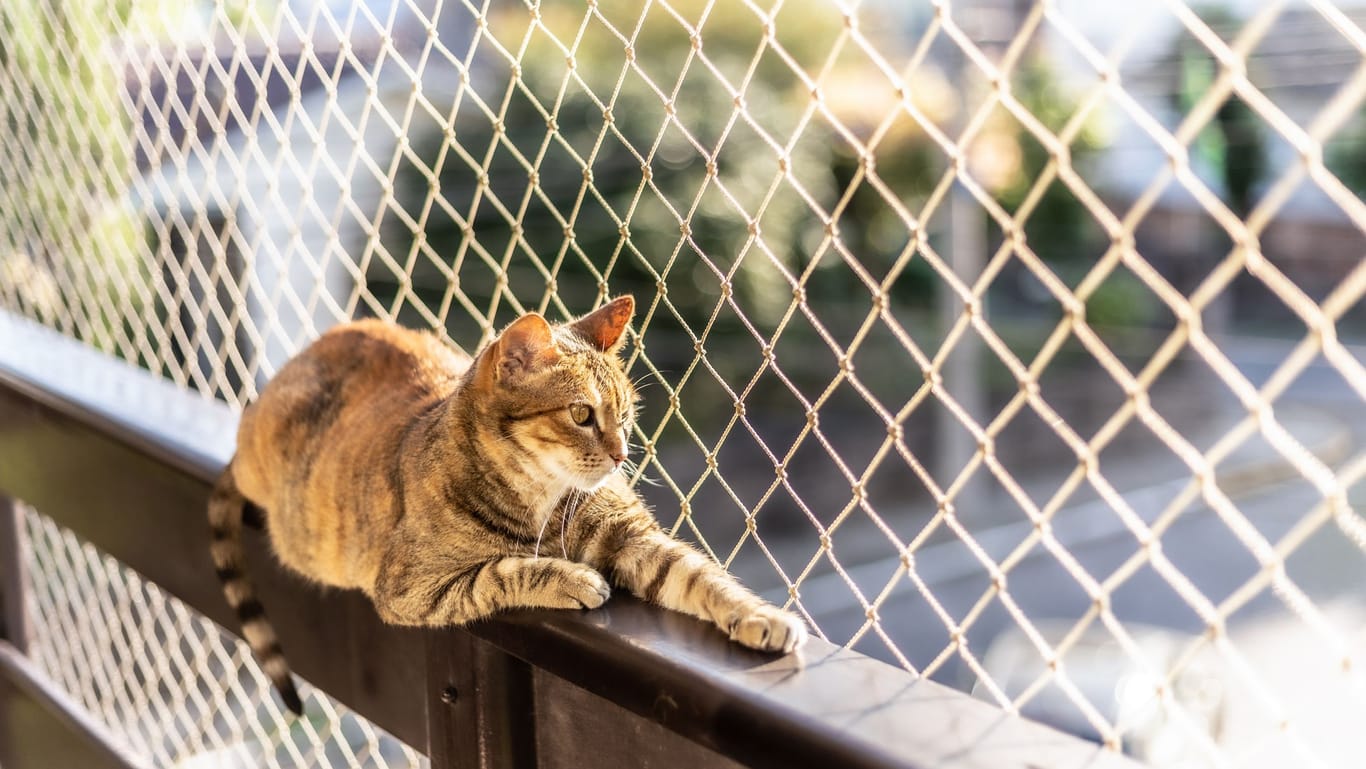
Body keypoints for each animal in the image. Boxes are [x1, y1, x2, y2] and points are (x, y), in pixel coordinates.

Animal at [207, 296, 803, 715]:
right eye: (582, 414)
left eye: (627, 414)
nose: (621, 454)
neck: (544, 497)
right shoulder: (410, 587)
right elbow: (500, 571)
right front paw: (571, 578)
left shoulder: (632, 535)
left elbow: (700, 576)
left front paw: (761, 616)